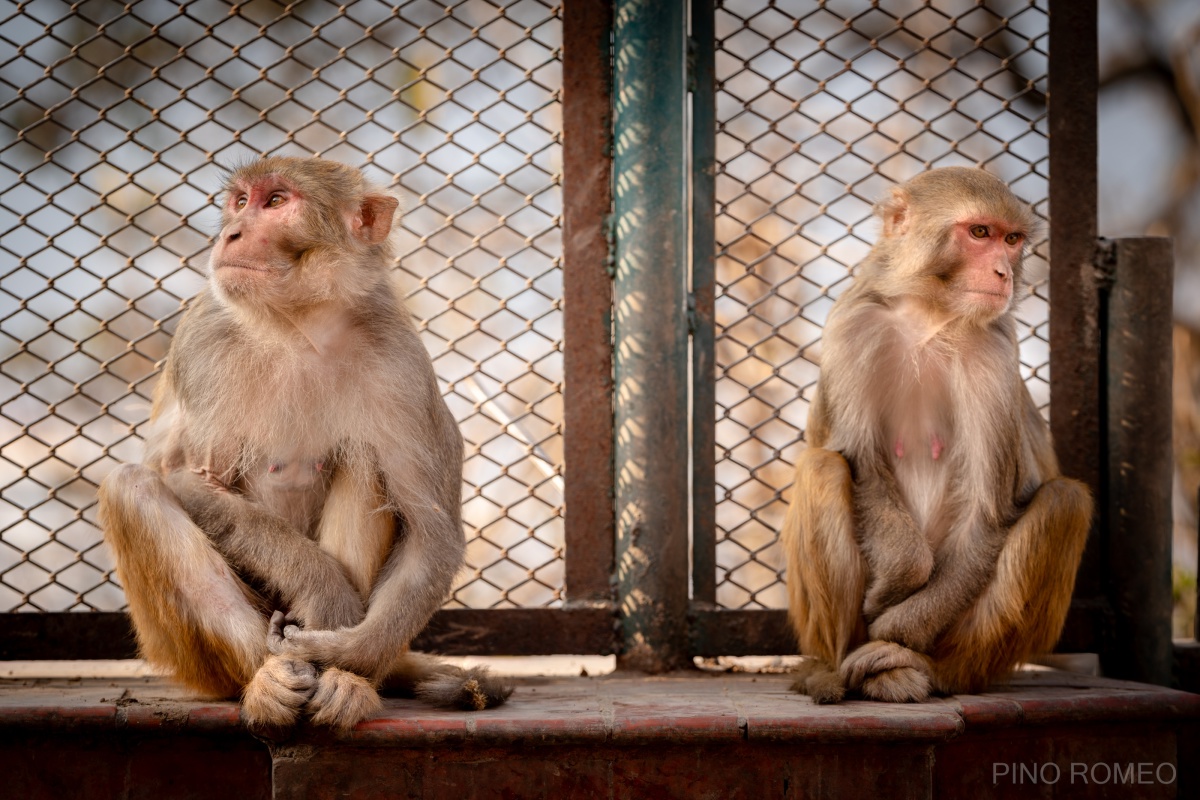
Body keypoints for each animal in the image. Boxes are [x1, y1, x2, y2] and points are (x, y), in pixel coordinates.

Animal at [102, 155, 511, 734]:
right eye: (241, 202)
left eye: (276, 202)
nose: (231, 232)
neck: (297, 324)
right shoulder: (204, 343)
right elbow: (186, 476)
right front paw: (323, 591)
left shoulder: (403, 365)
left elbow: (431, 533)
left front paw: (349, 649)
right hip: (187, 654)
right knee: (132, 486)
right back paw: (268, 680)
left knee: (364, 460)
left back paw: (346, 681)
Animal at [777, 167, 1099, 700]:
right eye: (980, 233)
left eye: (1012, 240)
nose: (1004, 273)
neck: (928, 314)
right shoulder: (854, 327)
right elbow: (864, 468)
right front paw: (897, 582)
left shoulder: (994, 349)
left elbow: (986, 515)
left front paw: (897, 628)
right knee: (823, 467)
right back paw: (832, 667)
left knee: (1064, 501)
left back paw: (931, 668)